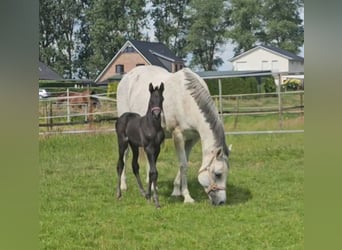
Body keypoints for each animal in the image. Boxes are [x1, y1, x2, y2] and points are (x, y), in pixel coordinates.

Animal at [117, 65, 230, 206]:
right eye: (218, 174)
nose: (221, 202)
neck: (186, 100)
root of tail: (126, 77)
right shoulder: (178, 135)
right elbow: (184, 165)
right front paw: (187, 197)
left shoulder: (192, 139)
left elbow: (184, 162)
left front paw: (176, 190)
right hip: (125, 137)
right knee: (125, 155)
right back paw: (123, 186)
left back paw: (151, 184)